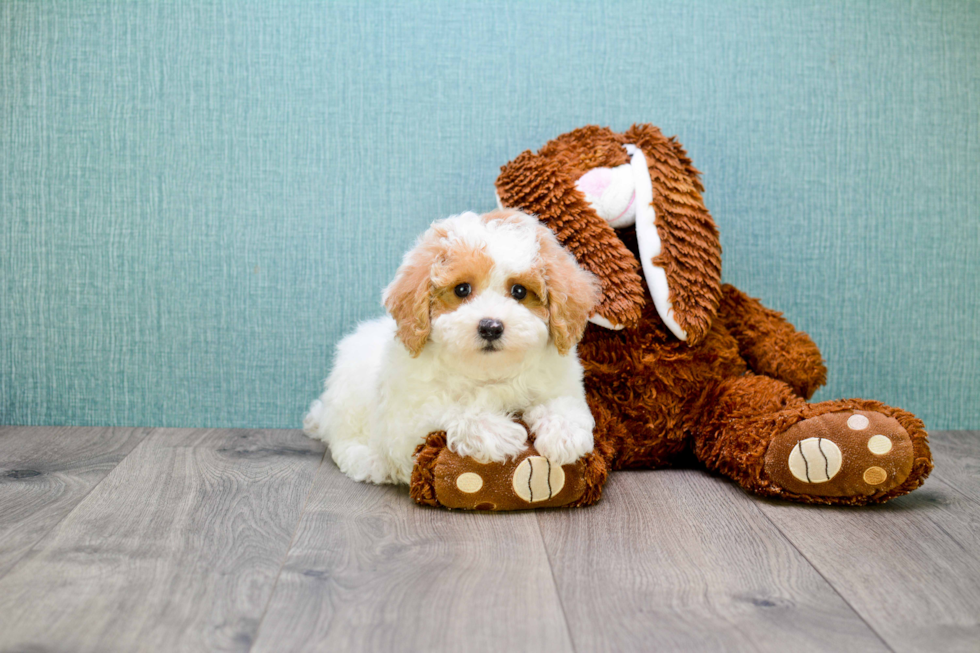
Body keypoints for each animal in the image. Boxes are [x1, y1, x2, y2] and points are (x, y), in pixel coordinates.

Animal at [302, 209, 600, 484]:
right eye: (462, 290)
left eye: (519, 291)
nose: (490, 326)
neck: (488, 372)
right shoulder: (404, 423)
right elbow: (447, 409)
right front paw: (497, 432)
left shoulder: (561, 384)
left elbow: (564, 403)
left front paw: (565, 432)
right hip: (349, 401)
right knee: (343, 440)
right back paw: (368, 461)